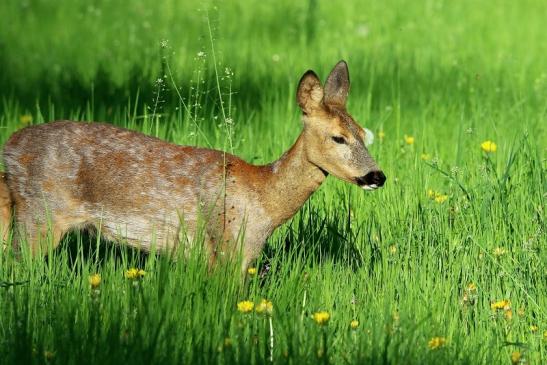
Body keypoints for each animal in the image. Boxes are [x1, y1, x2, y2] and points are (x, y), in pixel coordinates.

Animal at [1, 59, 386, 272]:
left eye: (363, 133)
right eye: (338, 138)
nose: (377, 176)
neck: (263, 199)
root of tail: (9, 149)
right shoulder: (229, 248)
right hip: (39, 215)